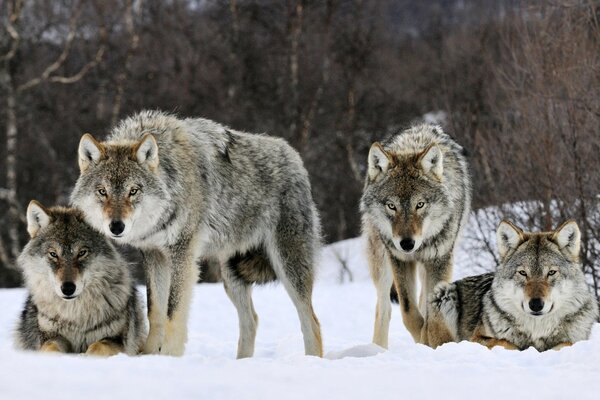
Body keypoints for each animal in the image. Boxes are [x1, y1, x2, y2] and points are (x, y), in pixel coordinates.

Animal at [14, 202, 146, 354]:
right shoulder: (50, 336)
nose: (68, 288)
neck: (75, 316)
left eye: (82, 253)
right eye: (53, 254)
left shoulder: (116, 340)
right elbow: (50, 348)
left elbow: (97, 347)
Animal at [70, 109, 324, 356]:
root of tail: (294, 157)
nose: (116, 227)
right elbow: (155, 312)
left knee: (312, 322)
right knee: (251, 320)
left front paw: (169, 357)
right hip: (231, 275)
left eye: (133, 191)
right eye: (102, 191)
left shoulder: (182, 254)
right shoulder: (154, 255)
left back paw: (311, 360)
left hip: (288, 266)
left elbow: (173, 313)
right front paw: (149, 355)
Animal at [358, 124, 472, 346]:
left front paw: (431, 339)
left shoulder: (440, 260)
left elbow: (430, 310)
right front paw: (423, 338)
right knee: (383, 309)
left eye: (420, 204)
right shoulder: (399, 259)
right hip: (382, 263)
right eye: (391, 206)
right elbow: (409, 312)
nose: (407, 244)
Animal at [428, 219, 596, 350]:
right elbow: (506, 342)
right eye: (522, 273)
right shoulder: (476, 338)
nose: (536, 304)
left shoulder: (575, 340)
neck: (536, 331)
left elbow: (567, 343)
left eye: (551, 272)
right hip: (443, 293)